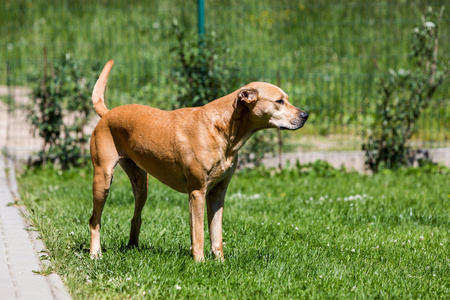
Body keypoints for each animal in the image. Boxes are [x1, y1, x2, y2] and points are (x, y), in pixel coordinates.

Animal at [89, 60, 308, 260]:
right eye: (279, 101)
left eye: (286, 99)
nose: (305, 115)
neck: (223, 128)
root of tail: (107, 114)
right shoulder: (197, 192)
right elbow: (199, 233)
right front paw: (200, 262)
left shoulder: (218, 192)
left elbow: (216, 233)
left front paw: (219, 261)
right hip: (103, 180)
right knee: (94, 220)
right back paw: (95, 254)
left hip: (141, 184)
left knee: (136, 217)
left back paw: (132, 247)